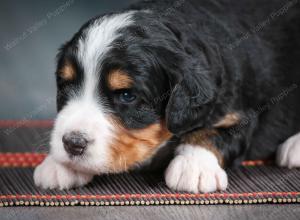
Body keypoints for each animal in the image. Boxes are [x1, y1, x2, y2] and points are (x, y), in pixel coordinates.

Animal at [33, 0, 300, 192]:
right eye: (65, 86)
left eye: (127, 95)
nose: (72, 143)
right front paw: (58, 165)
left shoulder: (242, 113)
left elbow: (216, 133)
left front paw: (193, 166)